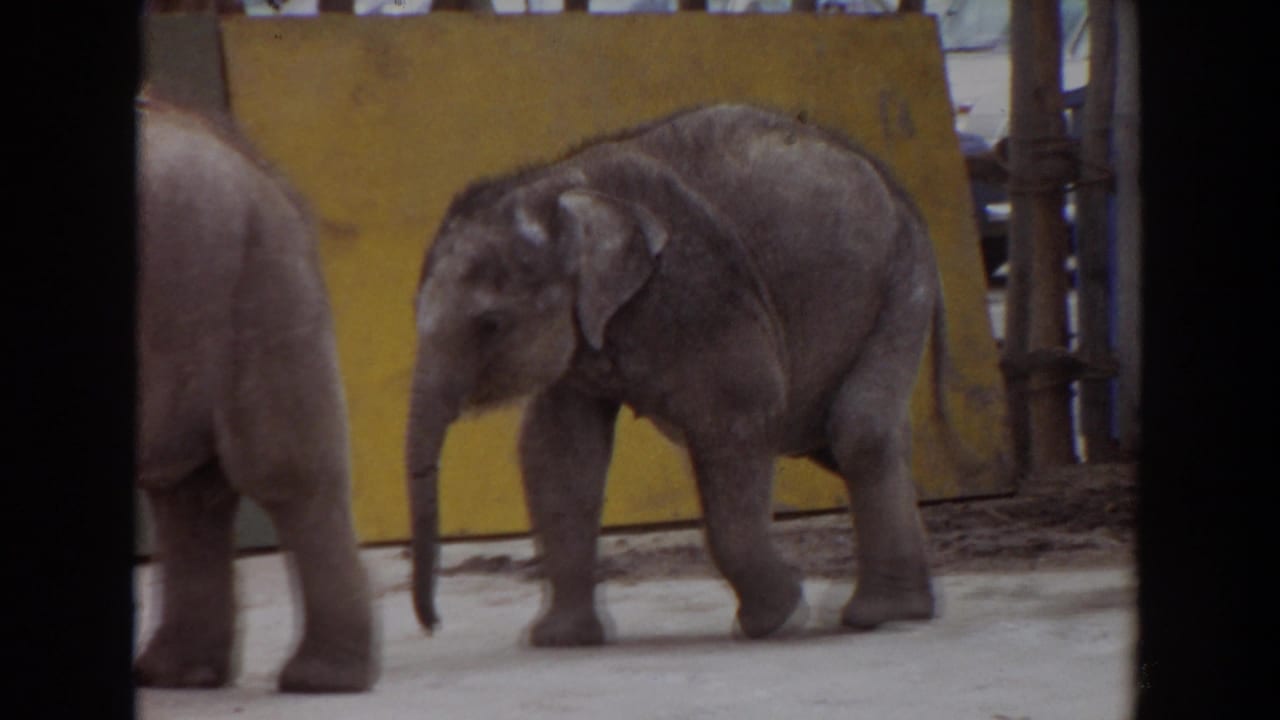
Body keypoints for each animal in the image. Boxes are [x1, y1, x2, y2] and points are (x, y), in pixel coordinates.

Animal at [406, 104, 944, 646]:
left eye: (489, 324)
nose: (433, 625)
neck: (562, 183)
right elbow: (559, 452)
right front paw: (559, 640)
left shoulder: (698, 291)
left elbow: (737, 415)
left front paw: (778, 619)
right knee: (835, 437)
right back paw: (908, 607)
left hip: (904, 275)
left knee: (856, 429)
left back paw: (881, 613)